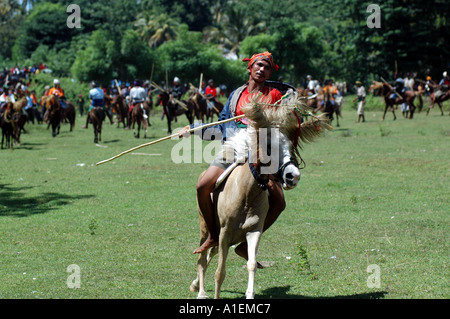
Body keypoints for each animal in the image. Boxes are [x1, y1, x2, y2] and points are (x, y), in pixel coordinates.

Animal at [188, 92, 332, 300]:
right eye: (269, 146)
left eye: (291, 145)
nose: (293, 176)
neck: (246, 193)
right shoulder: (224, 233)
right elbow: (220, 272)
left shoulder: (253, 231)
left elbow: (251, 265)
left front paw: (250, 293)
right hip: (206, 227)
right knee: (202, 257)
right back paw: (200, 292)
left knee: (211, 253)